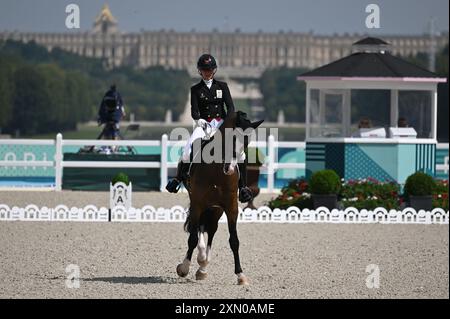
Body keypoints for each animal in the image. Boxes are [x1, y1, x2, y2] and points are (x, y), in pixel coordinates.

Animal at [174, 112, 262, 284]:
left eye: (246, 143)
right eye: (230, 139)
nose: (230, 169)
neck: (216, 172)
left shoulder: (231, 207)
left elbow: (234, 241)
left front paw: (240, 275)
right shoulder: (197, 203)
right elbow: (193, 238)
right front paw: (184, 268)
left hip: (215, 209)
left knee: (211, 229)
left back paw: (203, 267)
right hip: (202, 206)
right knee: (198, 228)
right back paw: (201, 259)